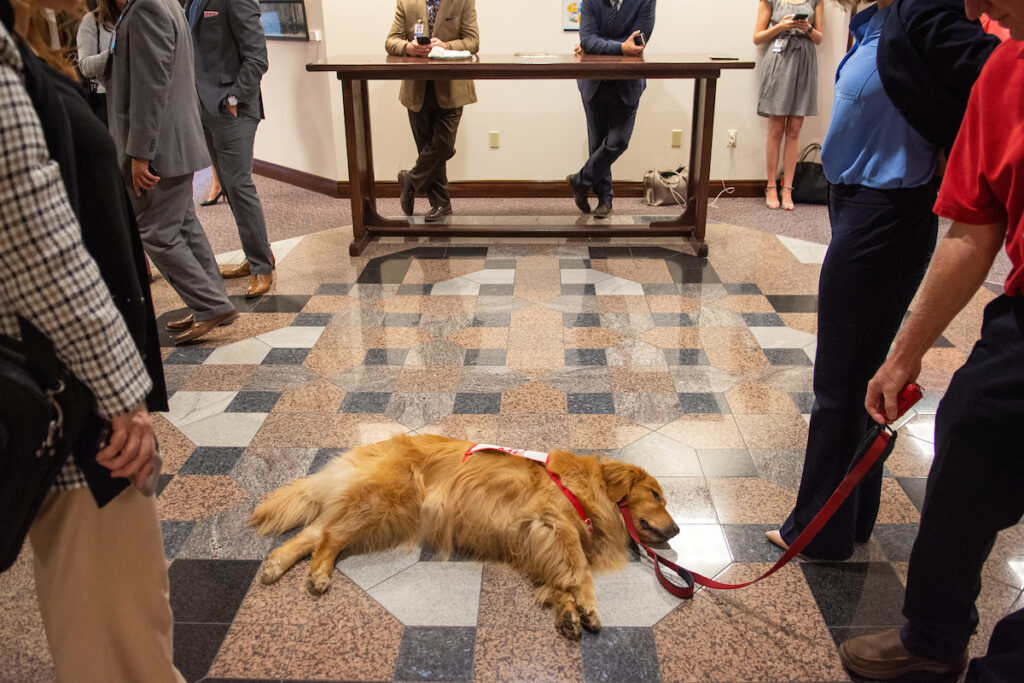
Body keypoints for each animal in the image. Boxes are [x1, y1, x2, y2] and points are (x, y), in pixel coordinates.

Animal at [249, 436, 679, 638]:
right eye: (656, 495)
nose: (677, 529)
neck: (590, 488)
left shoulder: (535, 543)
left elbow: (557, 580)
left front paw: (567, 611)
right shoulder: (552, 523)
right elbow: (579, 572)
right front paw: (586, 606)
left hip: (372, 509)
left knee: (313, 533)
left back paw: (276, 564)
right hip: (379, 505)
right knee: (329, 537)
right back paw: (319, 574)